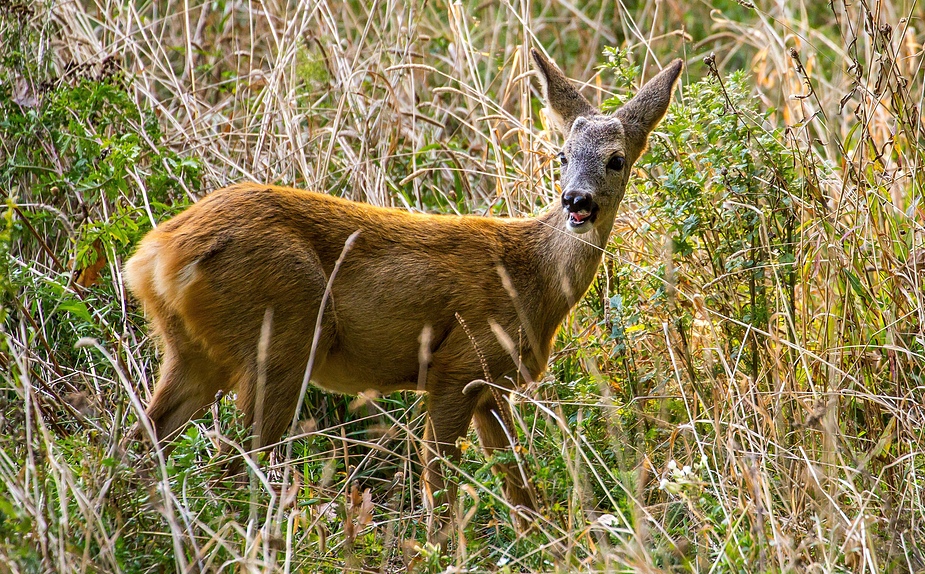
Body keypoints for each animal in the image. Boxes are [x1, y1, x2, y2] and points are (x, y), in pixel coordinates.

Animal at [126, 48, 684, 540]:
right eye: (563, 155)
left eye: (616, 160)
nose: (576, 200)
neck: (532, 277)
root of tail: (156, 255)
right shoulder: (458, 366)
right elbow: (439, 477)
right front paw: (443, 547)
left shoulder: (492, 384)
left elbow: (518, 483)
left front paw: (549, 544)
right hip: (283, 337)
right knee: (237, 460)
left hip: (194, 353)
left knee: (146, 440)